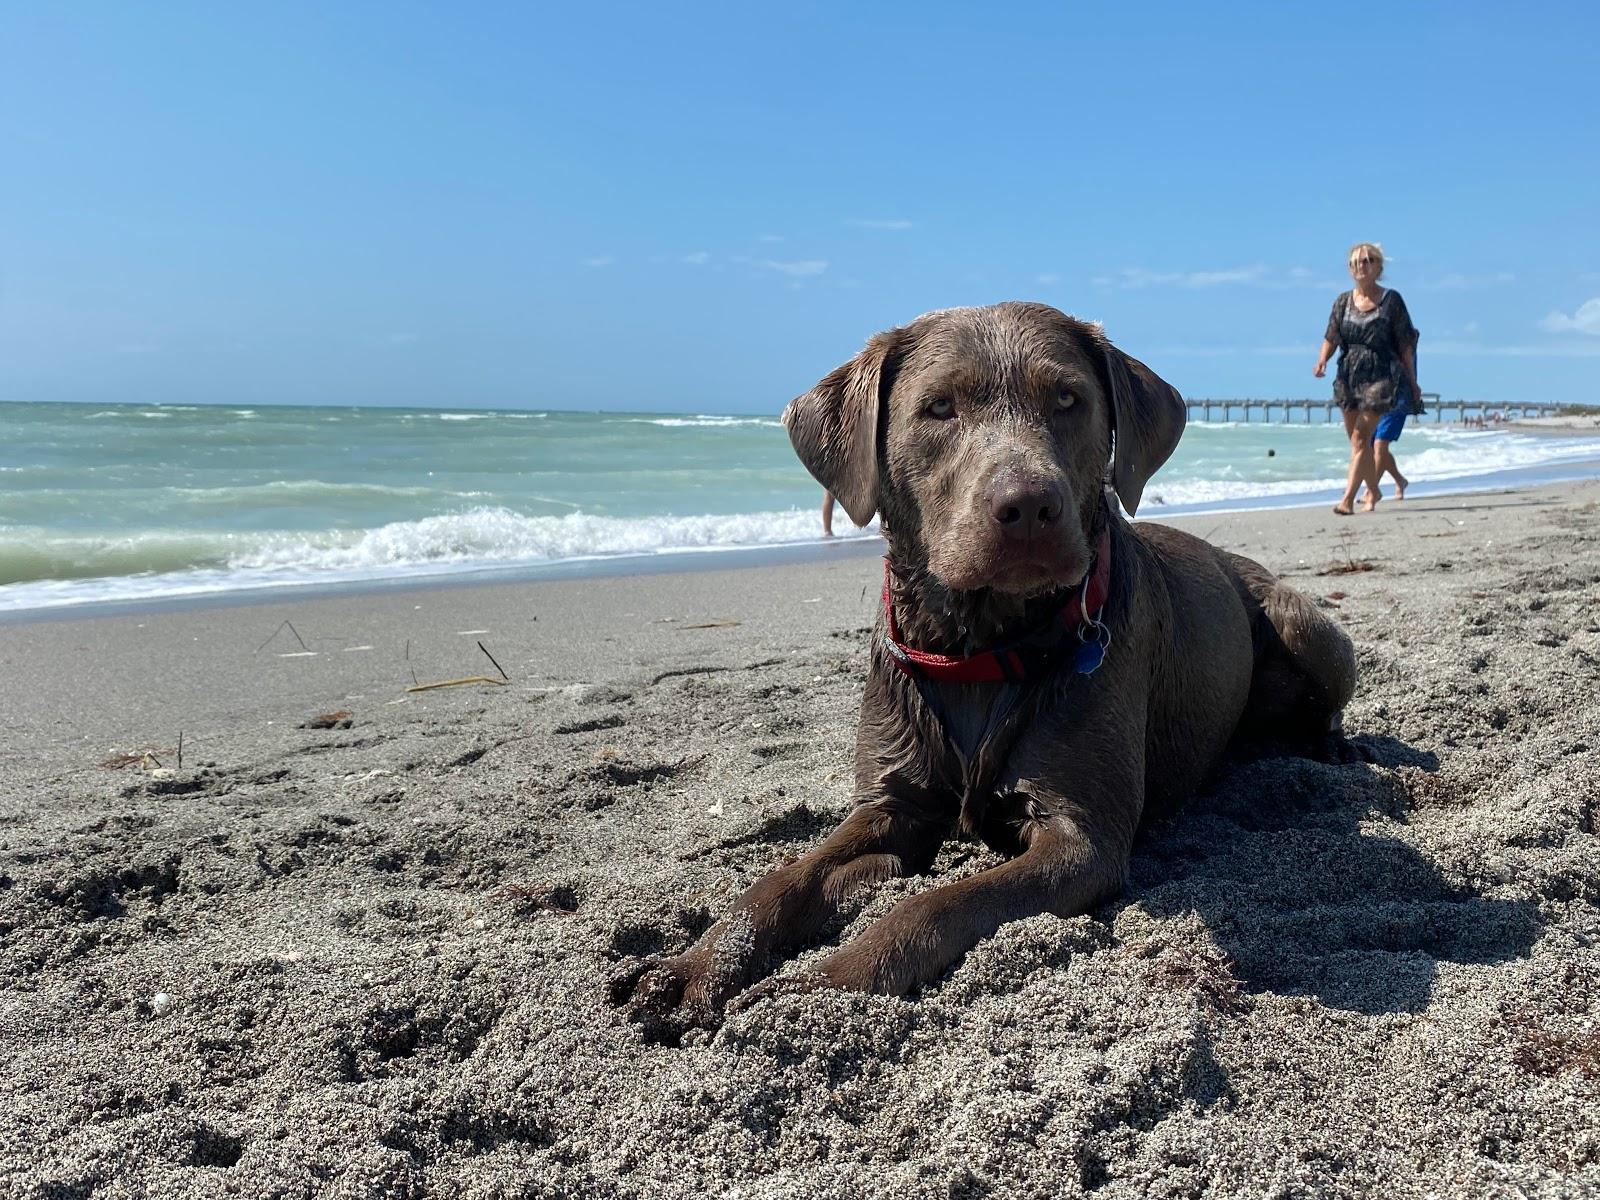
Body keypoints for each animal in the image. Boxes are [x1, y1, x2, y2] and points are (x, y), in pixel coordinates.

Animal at [608, 302, 1350, 1043]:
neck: (979, 650)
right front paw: (693, 968)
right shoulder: (889, 803)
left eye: (1068, 400)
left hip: (1307, 627)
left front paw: (819, 988)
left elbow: (931, 906)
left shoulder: (1083, 839)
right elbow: (783, 879)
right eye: (939, 407)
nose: (1029, 506)